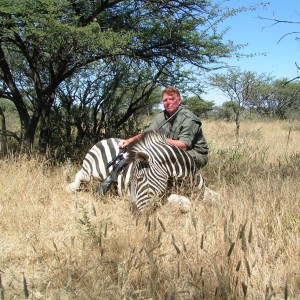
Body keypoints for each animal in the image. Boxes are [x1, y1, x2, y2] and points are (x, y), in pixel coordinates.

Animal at [66, 130, 218, 212]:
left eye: (139, 179)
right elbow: (185, 203)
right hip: (91, 171)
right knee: (79, 175)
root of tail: (104, 139)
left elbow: (216, 197)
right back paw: (71, 187)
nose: (133, 210)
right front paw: (180, 207)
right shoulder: (164, 195)